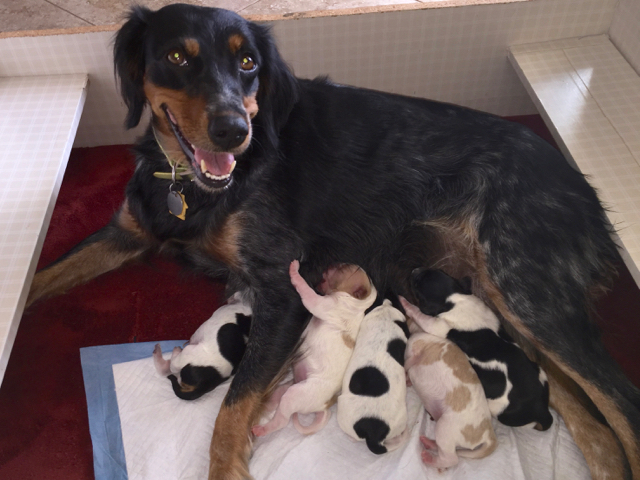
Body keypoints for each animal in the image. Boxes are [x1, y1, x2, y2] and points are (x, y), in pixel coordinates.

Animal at [252, 260, 378, 436]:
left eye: (343, 268)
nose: (332, 263)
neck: (357, 305)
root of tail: (324, 406)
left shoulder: (322, 304)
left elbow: (305, 290)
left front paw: (295, 270)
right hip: (288, 387)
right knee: (277, 399)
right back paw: (263, 407)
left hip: (296, 394)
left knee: (282, 420)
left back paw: (263, 428)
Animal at [400, 270, 556, 432]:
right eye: (436, 271)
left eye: (417, 285)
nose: (414, 270)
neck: (456, 298)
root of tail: (542, 410)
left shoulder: (438, 326)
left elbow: (421, 316)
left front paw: (406, 304)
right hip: (540, 371)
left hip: (500, 409)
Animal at [404, 332, 500, 470]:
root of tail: (489, 432)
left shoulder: (416, 349)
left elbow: (408, 362)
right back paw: (429, 443)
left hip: (445, 427)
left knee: (451, 459)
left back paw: (429, 458)